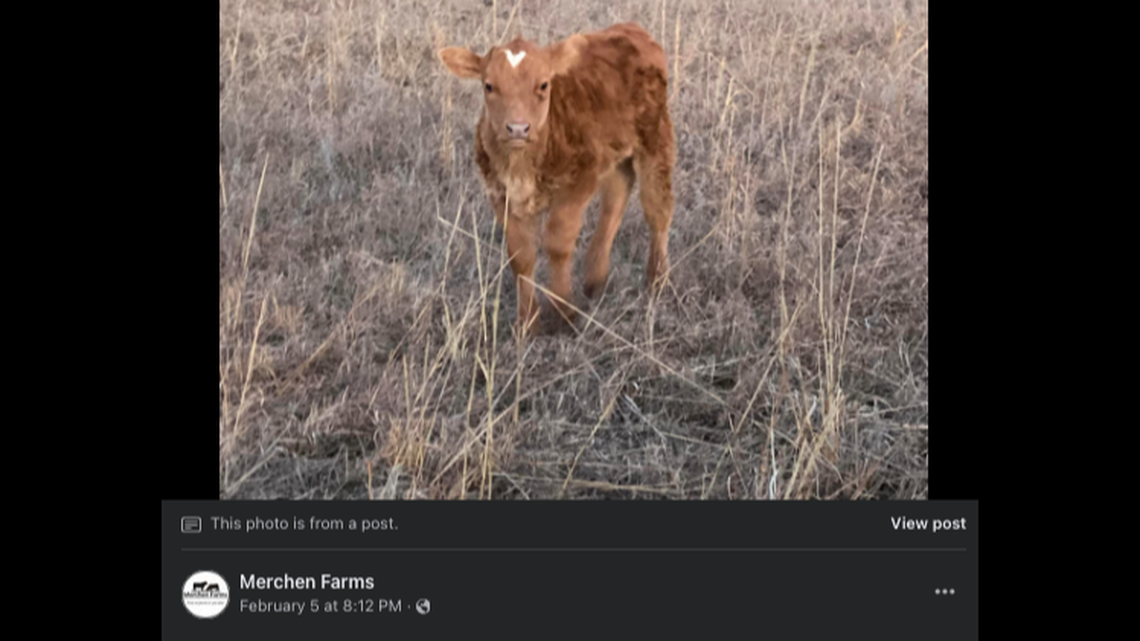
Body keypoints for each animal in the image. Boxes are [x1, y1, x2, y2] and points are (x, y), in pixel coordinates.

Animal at [438, 22, 675, 333]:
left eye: (543, 85)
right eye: (489, 85)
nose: (518, 128)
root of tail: (631, 29)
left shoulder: (577, 183)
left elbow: (558, 243)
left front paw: (564, 313)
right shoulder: (500, 195)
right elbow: (520, 255)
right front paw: (527, 323)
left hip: (656, 139)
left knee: (657, 209)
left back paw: (657, 281)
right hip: (615, 155)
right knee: (616, 197)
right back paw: (595, 280)